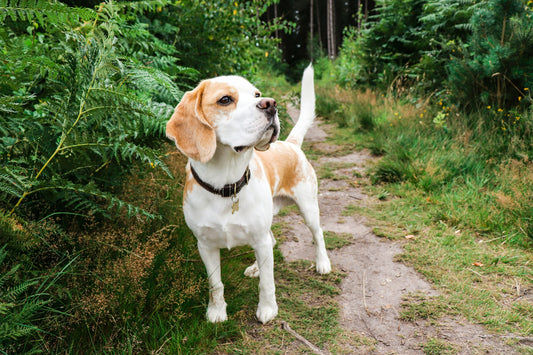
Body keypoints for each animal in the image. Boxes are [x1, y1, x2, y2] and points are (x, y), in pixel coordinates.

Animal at [165, 64, 328, 326]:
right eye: (225, 100)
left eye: (256, 94)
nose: (270, 104)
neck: (226, 185)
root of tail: (290, 144)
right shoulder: (205, 245)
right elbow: (215, 284)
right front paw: (217, 312)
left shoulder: (259, 239)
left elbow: (267, 283)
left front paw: (268, 309)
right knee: (272, 241)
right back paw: (256, 268)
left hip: (308, 208)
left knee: (317, 234)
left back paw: (323, 263)